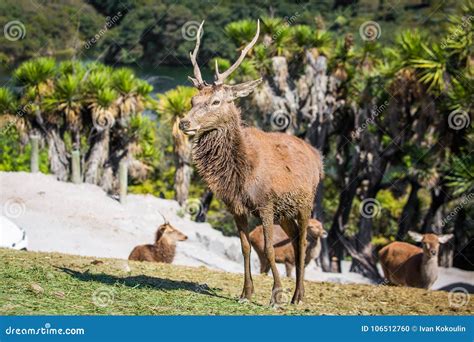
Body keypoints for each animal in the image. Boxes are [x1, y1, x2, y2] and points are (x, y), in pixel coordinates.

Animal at [178, 20, 322, 304]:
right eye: (192, 100)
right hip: (286, 212)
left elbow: (268, 248)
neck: (241, 172)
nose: (184, 123)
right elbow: (244, 247)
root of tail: (317, 156)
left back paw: (298, 296)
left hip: (305, 203)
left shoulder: (266, 203)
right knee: (295, 239)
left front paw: (276, 295)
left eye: (216, 101)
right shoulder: (235, 206)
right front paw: (246, 292)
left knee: (301, 243)